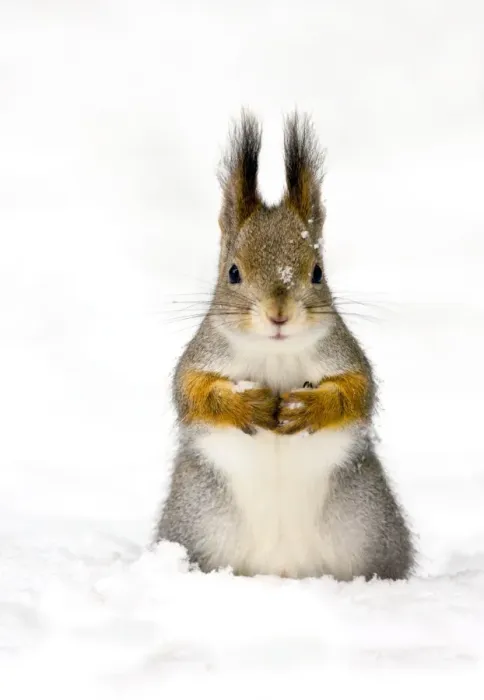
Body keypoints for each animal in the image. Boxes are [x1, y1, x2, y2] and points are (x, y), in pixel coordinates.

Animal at [155, 110, 415, 581]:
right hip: (195, 523)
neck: (274, 352)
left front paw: (310, 407)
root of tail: (282, 571)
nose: (279, 314)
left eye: (318, 272)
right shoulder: (200, 355)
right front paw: (243, 403)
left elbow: (360, 392)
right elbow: (190, 392)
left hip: (369, 527)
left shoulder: (345, 353)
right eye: (233, 272)